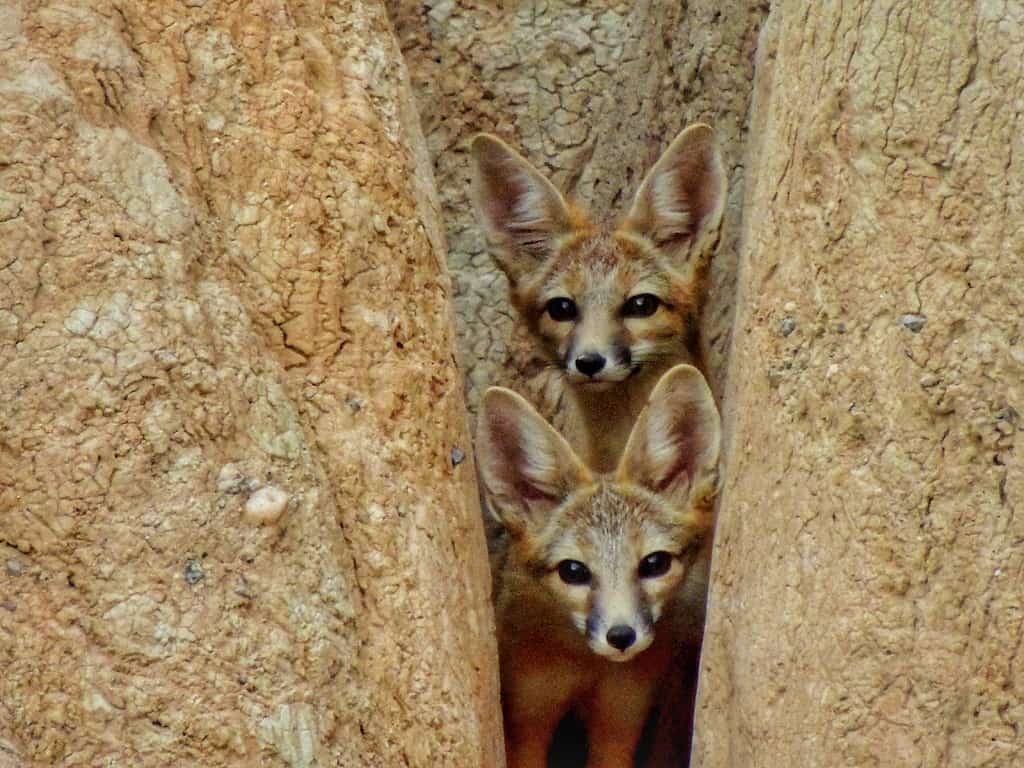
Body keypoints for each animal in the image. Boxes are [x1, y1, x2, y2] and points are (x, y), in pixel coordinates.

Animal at [473, 362, 720, 768]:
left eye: (654, 563)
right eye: (573, 571)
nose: (620, 636)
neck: (586, 663)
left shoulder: (620, 719)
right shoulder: (527, 720)